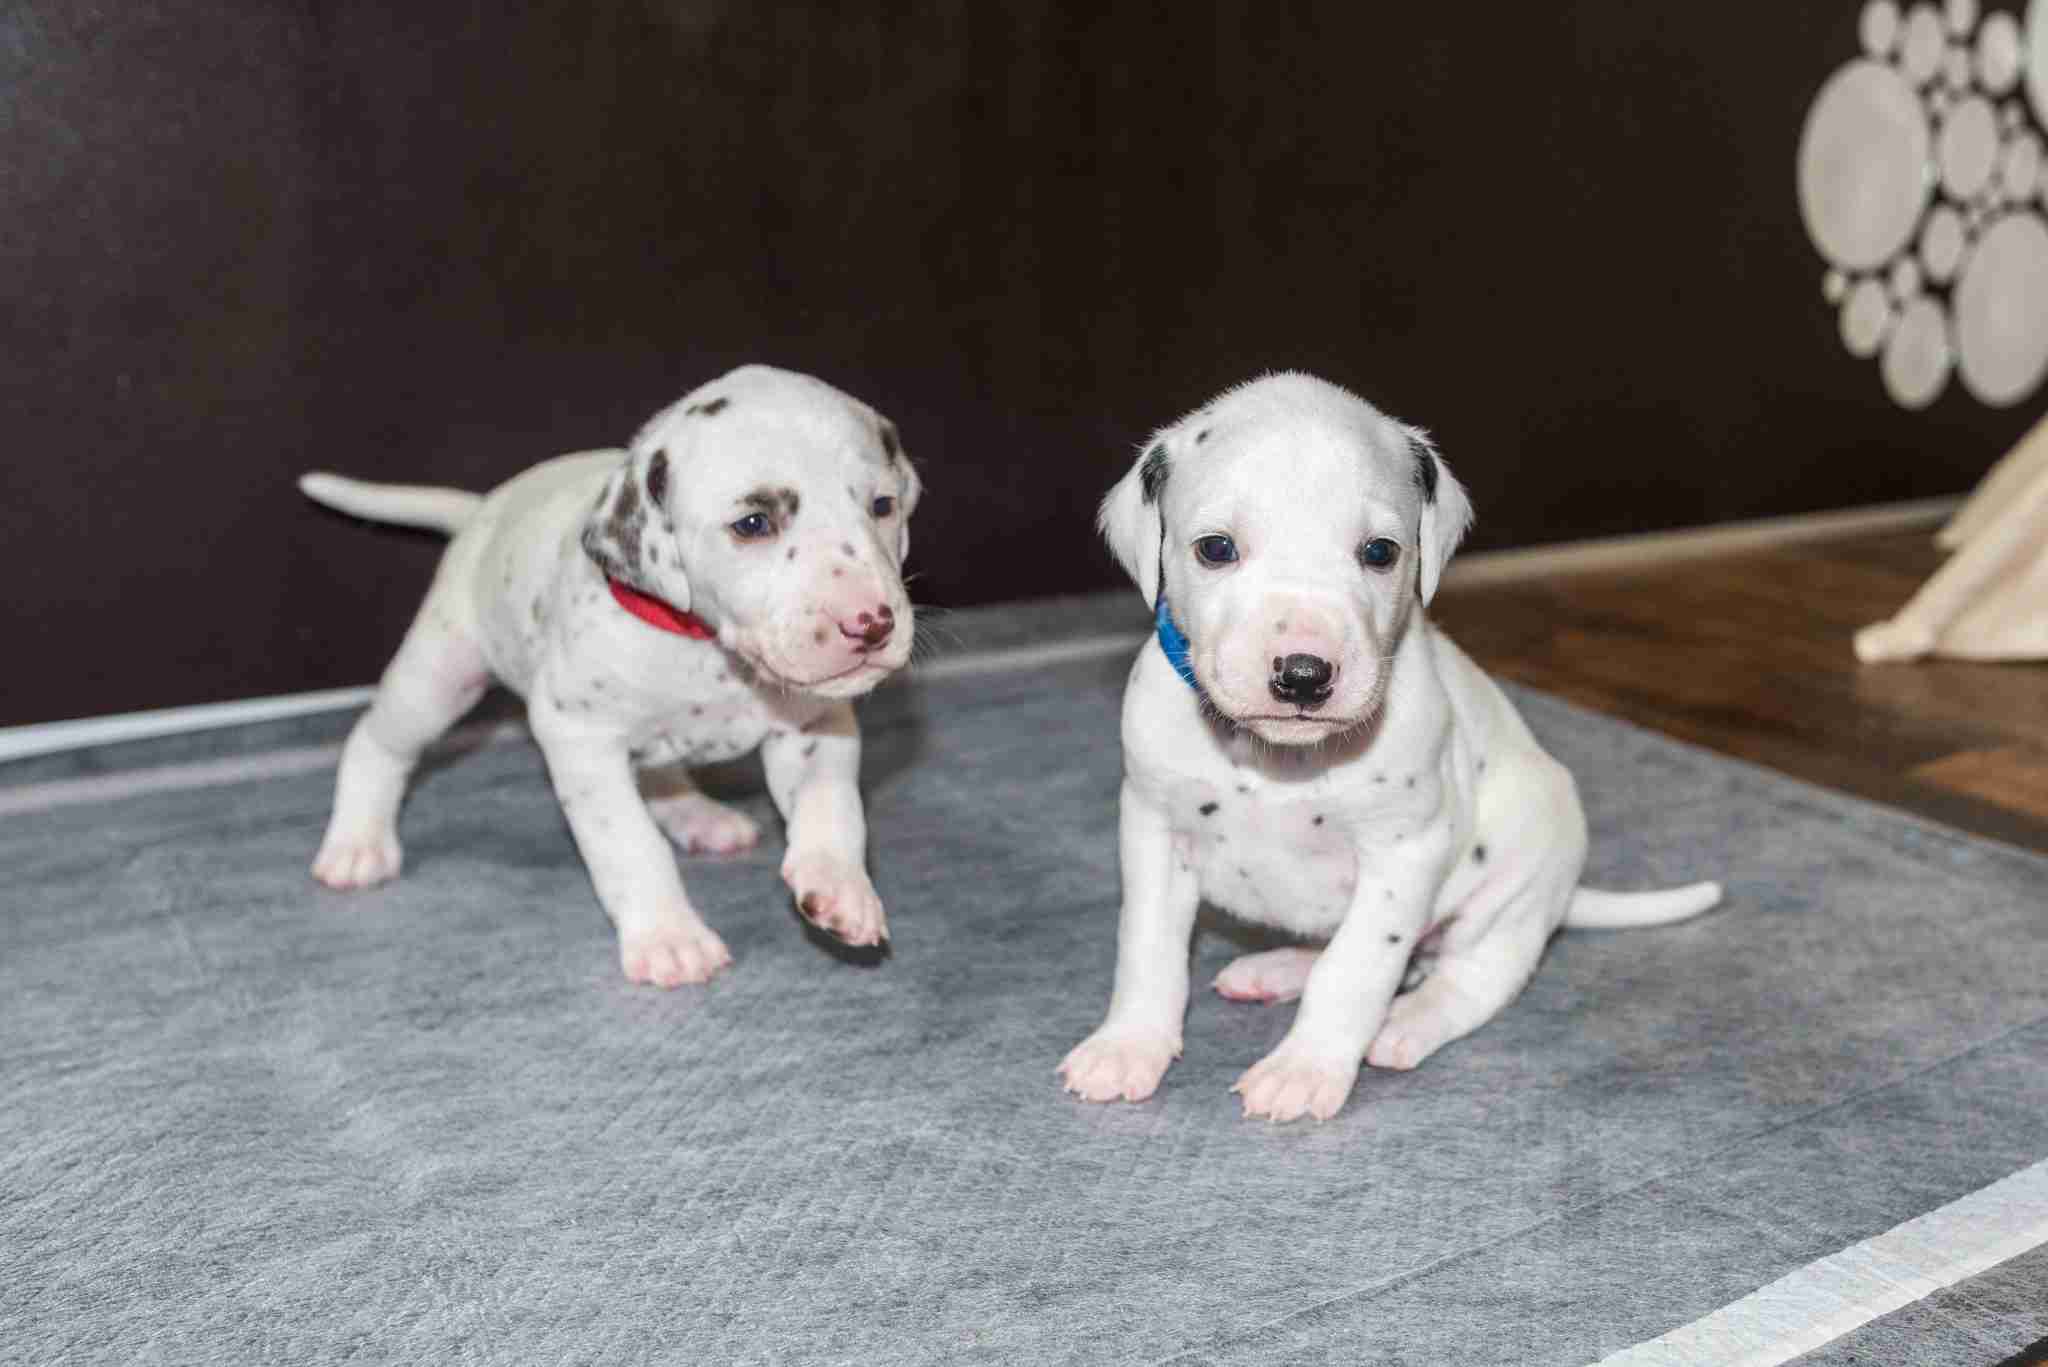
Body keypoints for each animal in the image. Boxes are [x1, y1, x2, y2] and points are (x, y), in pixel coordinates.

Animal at [299, 365, 920, 986]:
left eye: (882, 505)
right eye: (753, 523)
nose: (870, 624)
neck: (704, 647)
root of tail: (482, 512)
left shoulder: (814, 725)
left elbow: (831, 806)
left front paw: (840, 886)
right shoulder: (580, 737)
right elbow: (630, 842)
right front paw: (668, 937)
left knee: (660, 773)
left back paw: (698, 815)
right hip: (440, 677)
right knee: (378, 743)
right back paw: (357, 842)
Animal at [1058, 373, 1721, 1122]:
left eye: (1379, 551)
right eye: (1215, 548)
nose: (1304, 674)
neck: (1279, 762)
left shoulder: (1405, 853)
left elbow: (1355, 970)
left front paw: (1307, 1066)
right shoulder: (1153, 827)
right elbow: (1148, 950)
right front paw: (1128, 1044)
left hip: (1512, 892)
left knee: (1465, 977)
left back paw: (1406, 1021)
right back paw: (1278, 967)